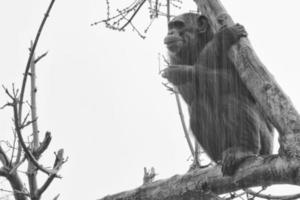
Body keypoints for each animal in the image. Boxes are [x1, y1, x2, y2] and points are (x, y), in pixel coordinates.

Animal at [163, 12, 274, 175]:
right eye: (171, 26)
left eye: (179, 25)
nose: (170, 32)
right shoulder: (173, 57)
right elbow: (191, 95)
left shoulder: (239, 50)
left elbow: (247, 84)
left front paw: (221, 38)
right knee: (198, 106)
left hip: (266, 144)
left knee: (230, 97)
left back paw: (244, 149)